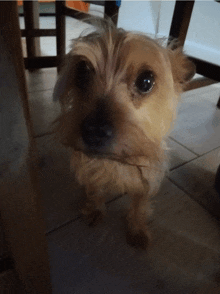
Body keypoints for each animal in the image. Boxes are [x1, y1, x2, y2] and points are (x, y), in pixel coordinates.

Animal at [52, 18, 194, 249]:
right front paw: (94, 208)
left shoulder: (147, 180)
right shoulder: (89, 169)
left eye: (146, 81)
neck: (116, 161)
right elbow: (95, 188)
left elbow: (139, 205)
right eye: (82, 71)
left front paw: (136, 229)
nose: (94, 131)